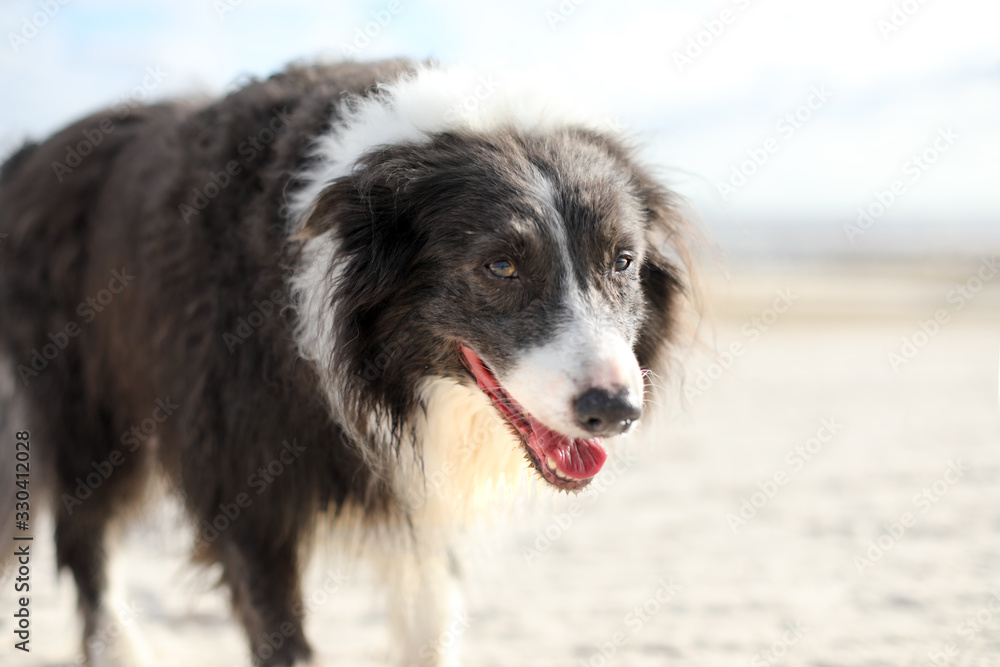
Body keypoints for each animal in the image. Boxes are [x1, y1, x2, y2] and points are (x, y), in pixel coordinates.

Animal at [0, 60, 688, 664]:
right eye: (501, 265)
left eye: (622, 261)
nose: (614, 411)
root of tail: (28, 155)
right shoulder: (239, 468)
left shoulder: (417, 485)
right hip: (85, 401)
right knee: (85, 538)